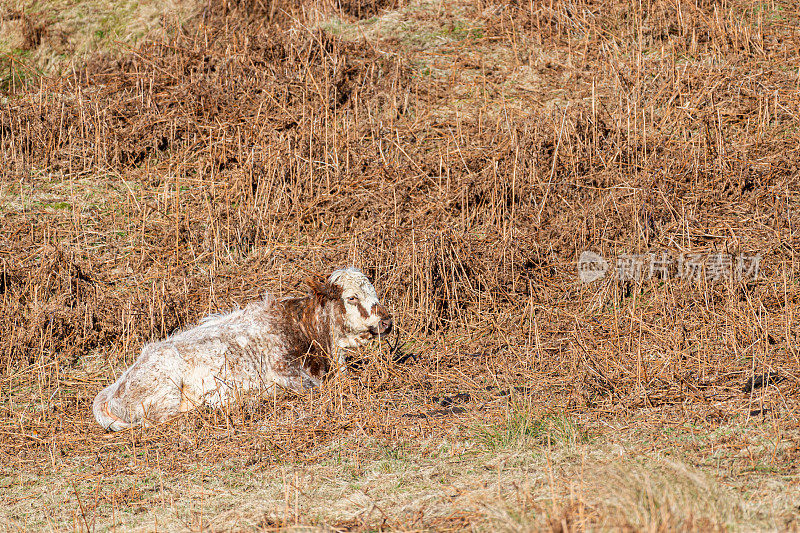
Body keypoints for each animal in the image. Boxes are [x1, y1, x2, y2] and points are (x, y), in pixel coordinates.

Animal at [92, 268, 392, 430]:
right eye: (351, 298)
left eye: (375, 292)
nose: (387, 321)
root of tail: (112, 388)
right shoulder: (284, 372)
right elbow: (315, 388)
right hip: (165, 390)